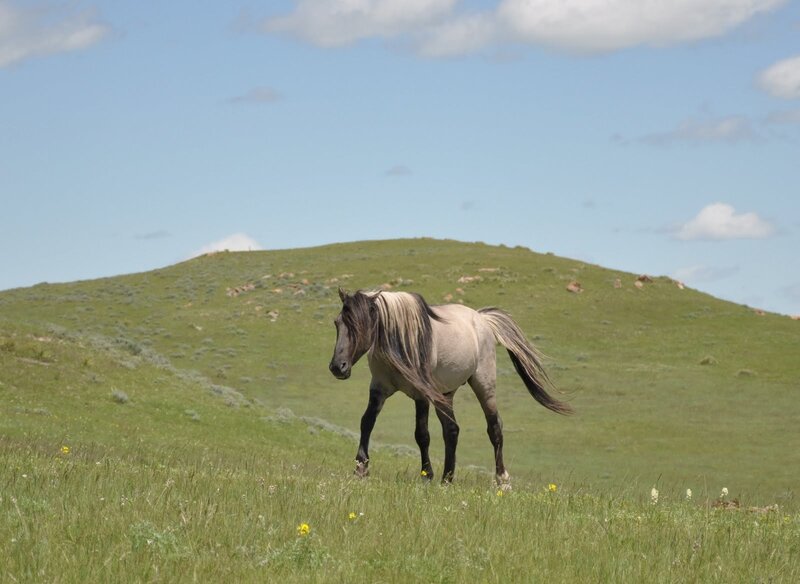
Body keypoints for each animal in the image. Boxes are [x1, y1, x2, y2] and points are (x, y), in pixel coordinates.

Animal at [328, 288, 572, 488]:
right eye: (337, 323)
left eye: (359, 325)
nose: (337, 367)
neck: (400, 342)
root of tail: (482, 319)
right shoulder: (378, 389)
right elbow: (366, 422)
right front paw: (361, 468)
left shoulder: (421, 394)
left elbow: (422, 434)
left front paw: (426, 475)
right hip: (445, 394)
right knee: (452, 430)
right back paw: (447, 478)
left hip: (484, 386)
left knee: (494, 428)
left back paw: (502, 480)